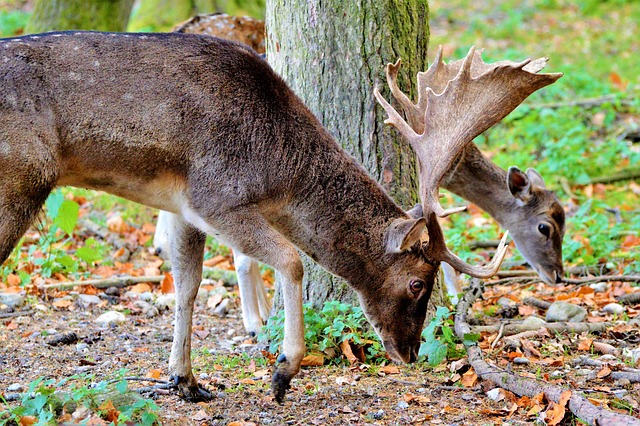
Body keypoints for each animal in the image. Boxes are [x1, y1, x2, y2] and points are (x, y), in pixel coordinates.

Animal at [0, 31, 556, 402]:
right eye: (419, 282)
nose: (410, 351)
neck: (280, 176)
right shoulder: (217, 195)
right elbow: (291, 260)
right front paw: (284, 369)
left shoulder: (183, 206)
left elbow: (188, 284)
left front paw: (185, 379)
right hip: (22, 178)